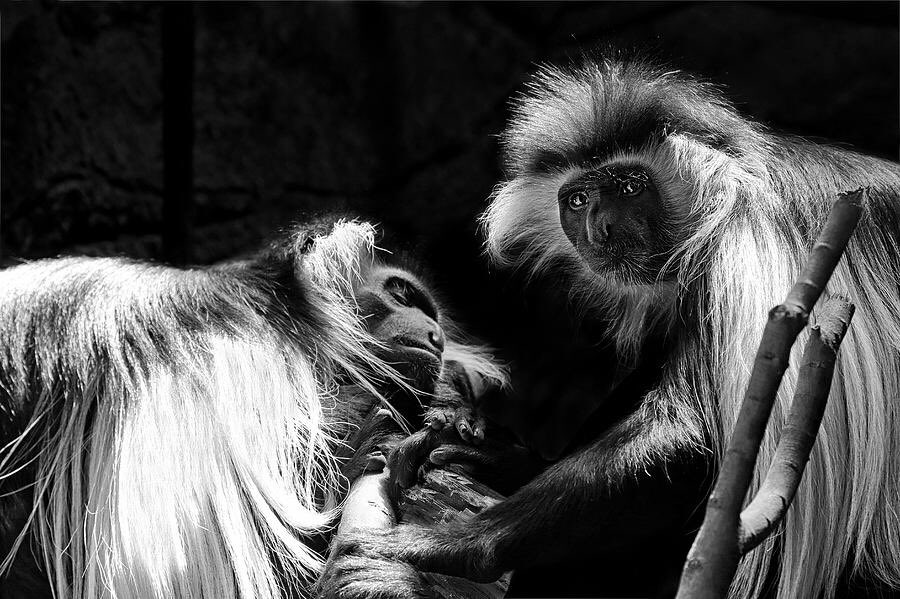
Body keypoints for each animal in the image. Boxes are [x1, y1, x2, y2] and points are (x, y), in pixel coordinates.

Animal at [320, 54, 900, 599]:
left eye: (629, 186)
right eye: (578, 200)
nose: (600, 229)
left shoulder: (747, 247)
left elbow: (692, 435)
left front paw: (447, 545)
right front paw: (484, 452)